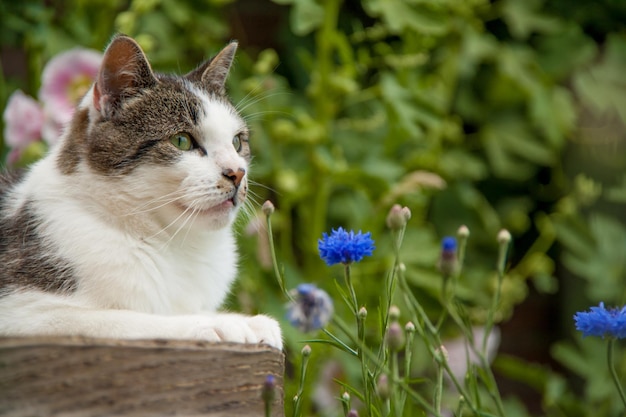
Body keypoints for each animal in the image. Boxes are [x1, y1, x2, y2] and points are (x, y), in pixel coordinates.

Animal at [0, 34, 280, 350]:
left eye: (237, 142)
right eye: (181, 140)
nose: (237, 173)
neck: (175, 245)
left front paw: (245, 321)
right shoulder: (23, 311)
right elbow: (129, 319)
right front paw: (224, 323)